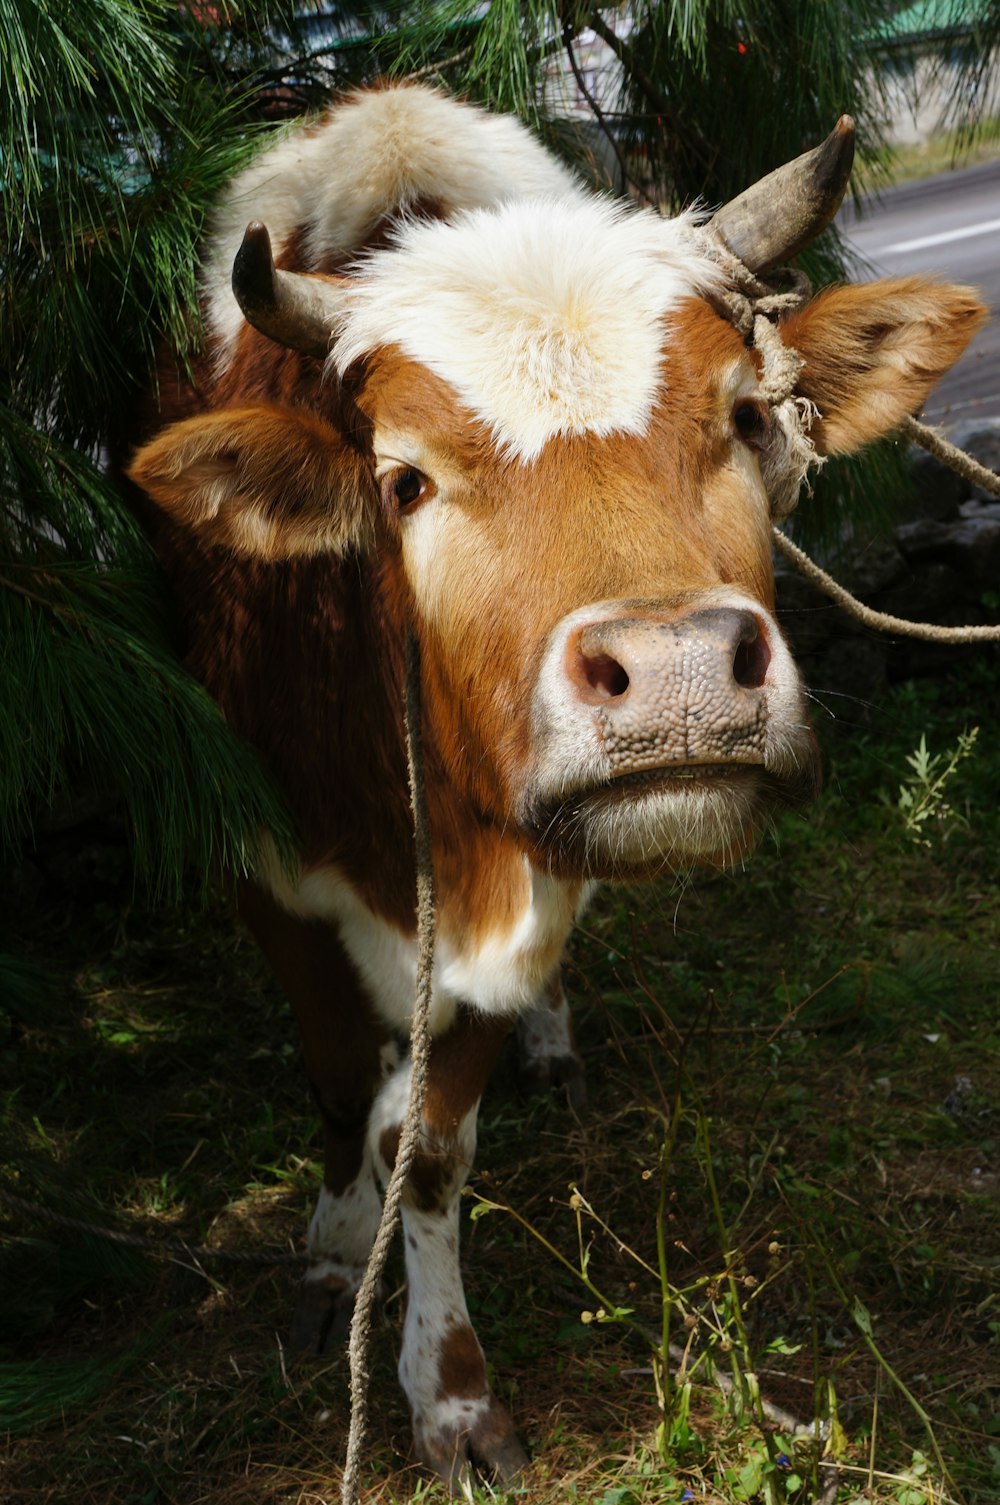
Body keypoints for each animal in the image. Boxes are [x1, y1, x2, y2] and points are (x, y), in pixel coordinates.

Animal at [125, 85, 981, 1492]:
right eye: (405, 479)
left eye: (747, 417)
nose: (681, 675)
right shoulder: (266, 866)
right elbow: (337, 1089)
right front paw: (331, 1248)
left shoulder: (512, 893)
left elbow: (426, 1143)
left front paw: (451, 1392)